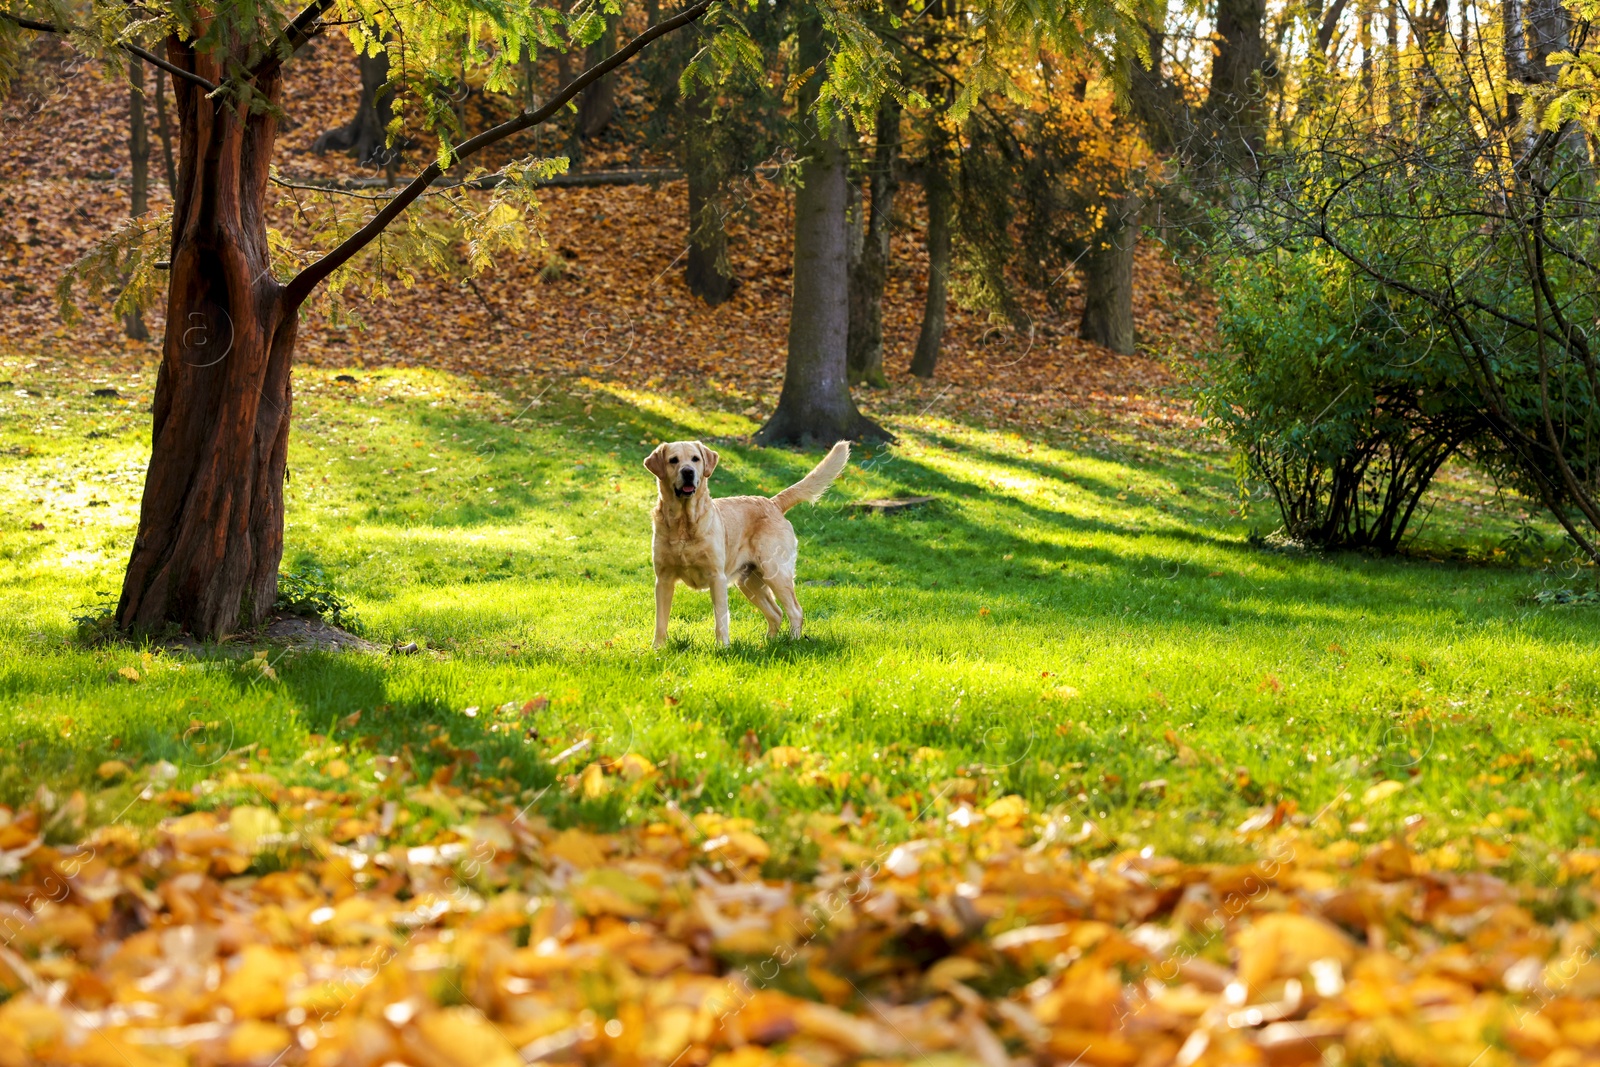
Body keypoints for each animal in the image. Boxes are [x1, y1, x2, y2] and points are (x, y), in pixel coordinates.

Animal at [646, 438, 857, 646]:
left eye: (695, 459)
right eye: (673, 460)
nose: (688, 471)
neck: (684, 522)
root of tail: (772, 503)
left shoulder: (717, 577)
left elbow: (721, 619)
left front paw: (722, 648)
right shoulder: (663, 580)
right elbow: (660, 621)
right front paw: (658, 649)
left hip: (776, 573)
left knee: (795, 611)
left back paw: (793, 642)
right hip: (749, 582)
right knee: (776, 613)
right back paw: (769, 643)